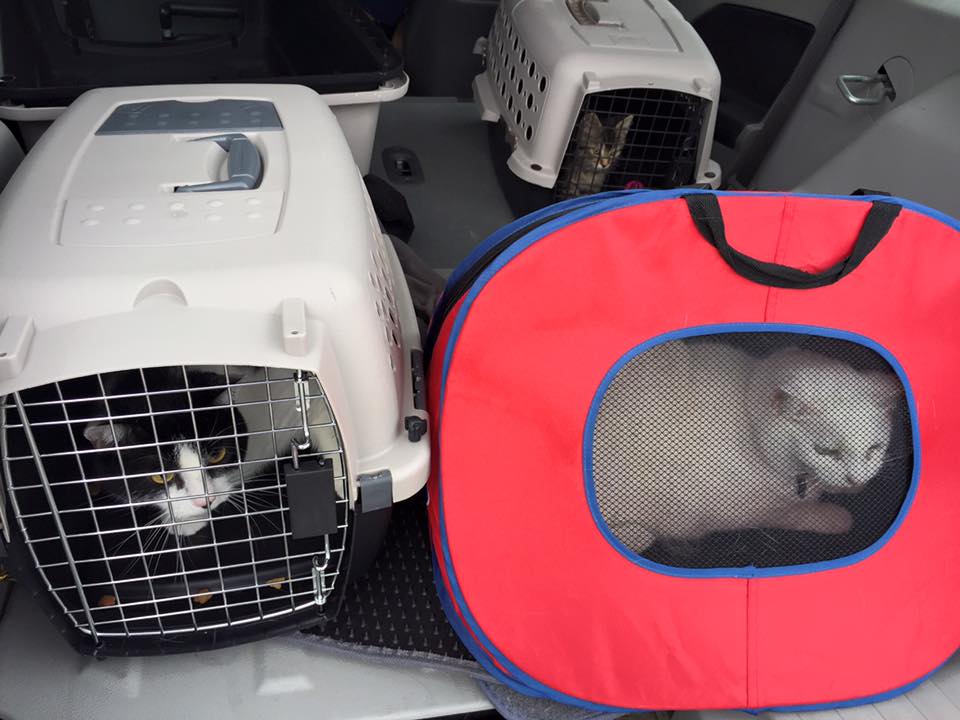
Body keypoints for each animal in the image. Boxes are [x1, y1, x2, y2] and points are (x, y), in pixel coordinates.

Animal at [593, 342, 902, 554]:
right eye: (825, 451)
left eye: (874, 449)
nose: (855, 478)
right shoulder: (740, 511)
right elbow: (795, 513)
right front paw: (838, 516)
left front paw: (854, 486)